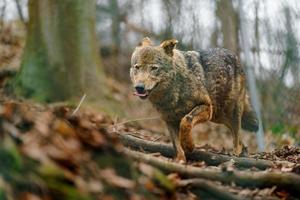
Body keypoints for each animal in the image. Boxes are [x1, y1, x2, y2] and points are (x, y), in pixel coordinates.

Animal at [130, 38, 258, 162]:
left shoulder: (206, 107)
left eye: (154, 68)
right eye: (137, 67)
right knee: (238, 136)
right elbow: (177, 146)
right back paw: (244, 151)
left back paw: (236, 154)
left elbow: (186, 120)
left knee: (236, 136)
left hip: (229, 113)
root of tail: (234, 56)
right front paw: (180, 161)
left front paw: (189, 146)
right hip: (218, 116)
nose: (139, 87)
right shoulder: (170, 120)